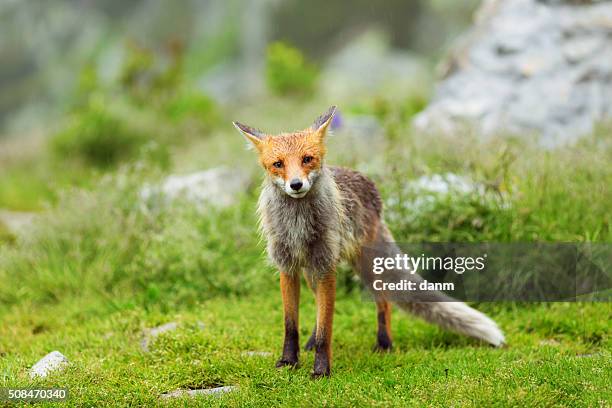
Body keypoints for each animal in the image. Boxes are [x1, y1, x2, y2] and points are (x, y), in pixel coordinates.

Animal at [232, 107, 504, 378]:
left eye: (307, 159)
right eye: (278, 164)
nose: (296, 185)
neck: (297, 224)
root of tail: (371, 187)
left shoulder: (326, 267)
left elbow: (325, 330)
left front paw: (321, 370)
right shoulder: (288, 267)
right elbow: (292, 325)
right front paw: (288, 361)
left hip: (366, 266)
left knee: (383, 301)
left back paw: (384, 344)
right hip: (312, 273)